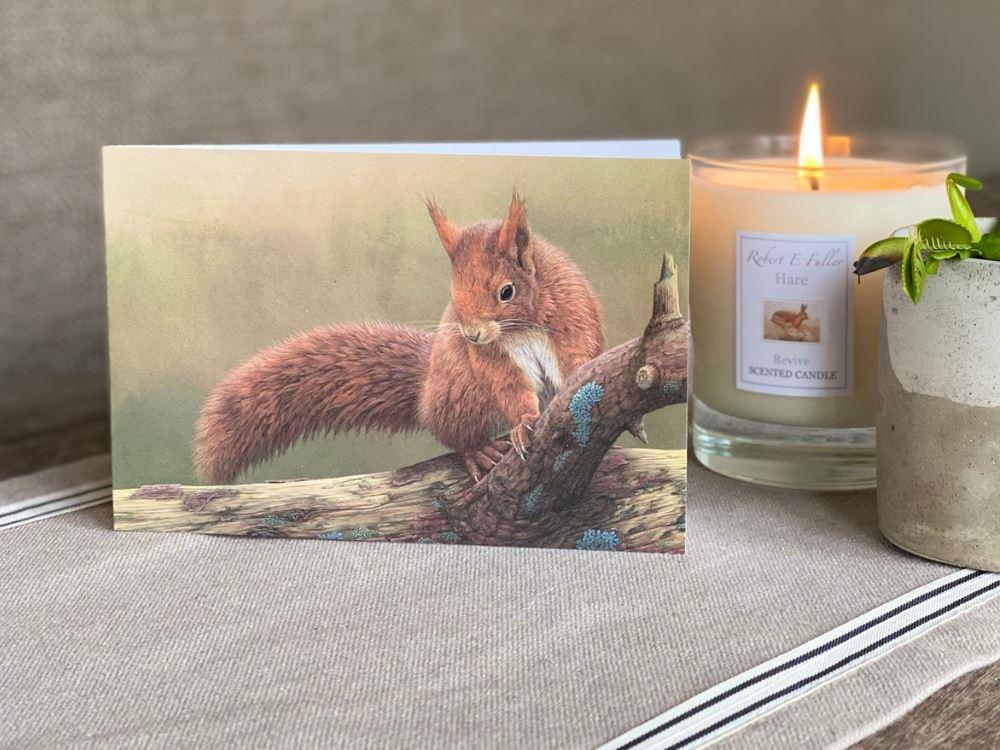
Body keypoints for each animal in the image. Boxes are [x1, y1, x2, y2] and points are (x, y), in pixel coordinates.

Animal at [194, 191, 605, 484]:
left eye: (506, 291)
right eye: (452, 296)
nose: (471, 335)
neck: (521, 327)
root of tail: (426, 393)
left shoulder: (572, 316)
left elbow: (580, 355)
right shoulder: (490, 360)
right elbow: (508, 387)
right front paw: (521, 424)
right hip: (461, 394)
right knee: (455, 433)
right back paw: (478, 451)